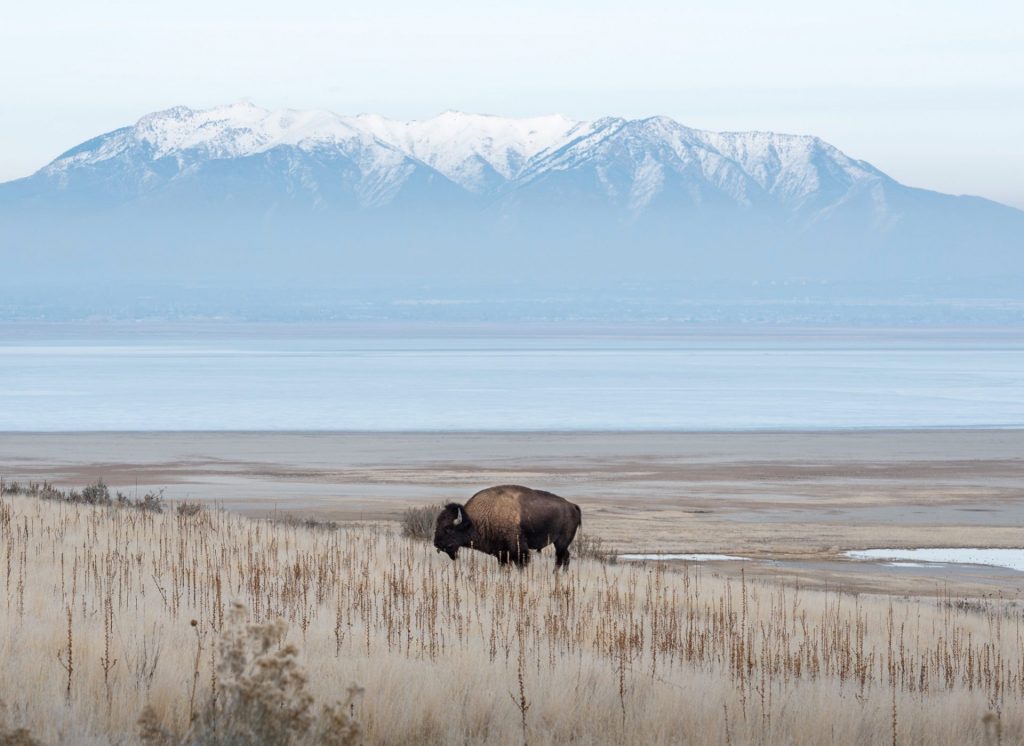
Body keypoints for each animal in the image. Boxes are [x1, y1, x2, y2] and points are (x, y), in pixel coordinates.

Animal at [430, 483, 581, 568]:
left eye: (448, 528)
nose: (436, 543)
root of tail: (572, 506)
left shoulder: (519, 551)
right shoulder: (501, 553)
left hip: (561, 542)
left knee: (560, 559)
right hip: (561, 544)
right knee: (565, 558)